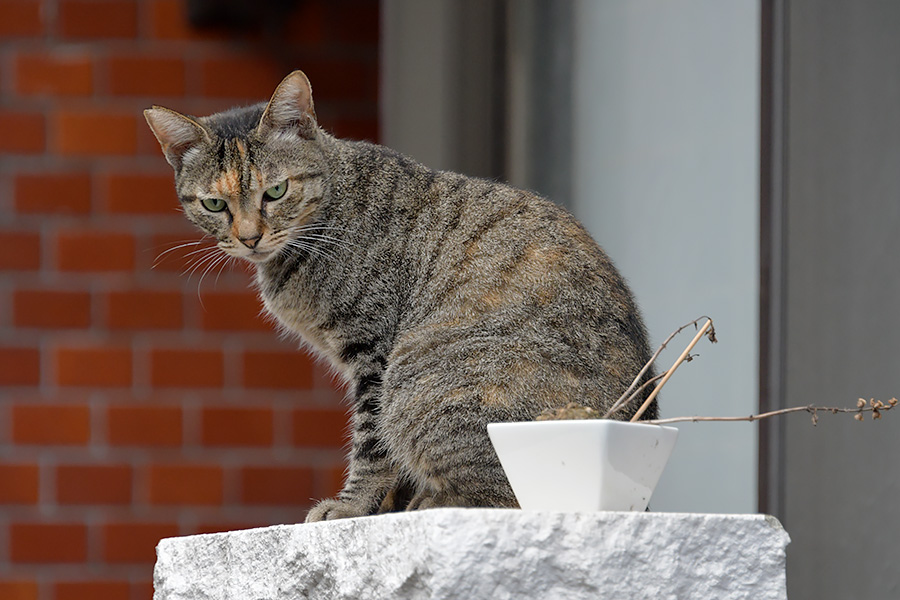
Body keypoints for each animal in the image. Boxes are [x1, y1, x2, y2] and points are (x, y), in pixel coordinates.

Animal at [146, 69, 652, 520]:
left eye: (276, 191)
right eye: (215, 204)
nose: (249, 237)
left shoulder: (373, 352)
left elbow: (371, 445)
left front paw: (352, 506)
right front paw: (380, 504)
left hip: (416, 379)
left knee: (499, 496)